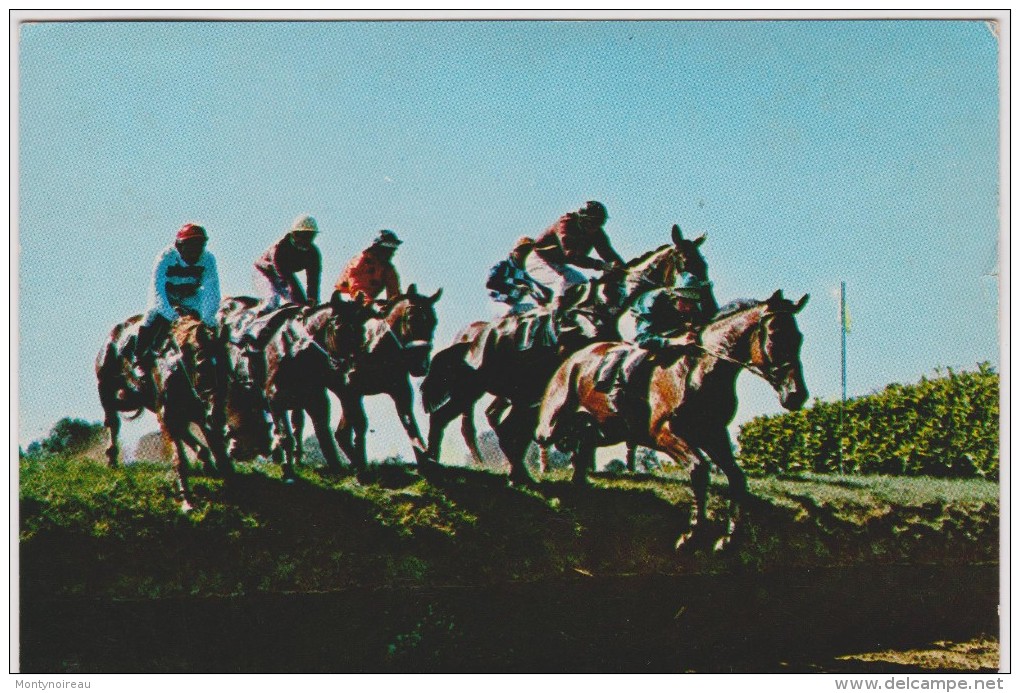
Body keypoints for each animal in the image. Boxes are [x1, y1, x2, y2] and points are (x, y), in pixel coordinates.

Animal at [95, 314, 231, 510]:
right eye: (202, 364)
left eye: (225, 365)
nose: (218, 413)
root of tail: (114, 334)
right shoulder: (169, 414)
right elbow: (179, 459)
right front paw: (186, 502)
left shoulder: (200, 414)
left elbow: (220, 453)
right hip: (107, 389)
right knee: (112, 421)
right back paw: (111, 459)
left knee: (184, 431)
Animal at [326, 283, 438, 473]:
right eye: (411, 319)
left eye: (433, 322)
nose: (421, 365)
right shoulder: (352, 390)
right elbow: (361, 424)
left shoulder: (400, 391)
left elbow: (409, 422)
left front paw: (425, 461)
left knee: (342, 433)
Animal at [420, 224, 709, 485]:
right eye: (686, 263)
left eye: (703, 263)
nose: (707, 306)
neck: (599, 307)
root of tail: (469, 339)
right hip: (470, 388)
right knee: (446, 418)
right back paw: (433, 462)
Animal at [538, 291, 807, 551]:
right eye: (774, 336)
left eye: (799, 338)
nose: (796, 395)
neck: (698, 371)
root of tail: (575, 357)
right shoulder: (664, 433)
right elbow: (699, 470)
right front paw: (691, 535)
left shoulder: (713, 433)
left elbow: (736, 478)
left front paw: (728, 538)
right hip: (554, 419)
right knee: (548, 438)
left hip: (609, 430)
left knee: (584, 443)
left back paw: (578, 488)